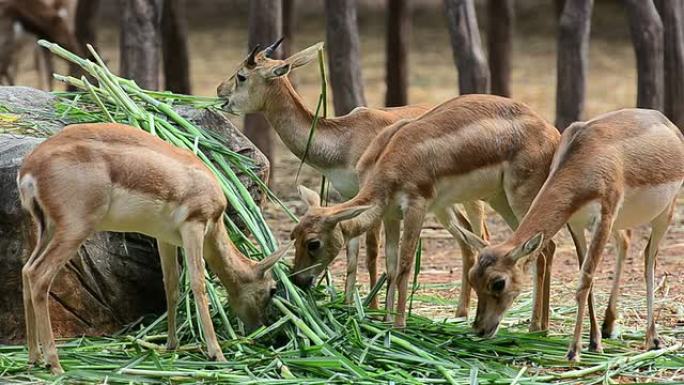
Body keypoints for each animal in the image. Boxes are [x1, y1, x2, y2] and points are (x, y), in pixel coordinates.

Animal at [18, 123, 292, 372]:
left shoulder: (165, 238)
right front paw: (218, 354)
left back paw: (34, 358)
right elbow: (198, 284)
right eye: (272, 289)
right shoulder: (195, 227)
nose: (261, 327)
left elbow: (170, 285)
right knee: (39, 275)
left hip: (48, 229)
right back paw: (55, 364)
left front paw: (171, 345)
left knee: (26, 271)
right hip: (74, 230)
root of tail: (31, 167)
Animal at [216, 39, 488, 316]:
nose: (219, 91)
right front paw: (349, 307)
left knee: (481, 234)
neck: (344, 138)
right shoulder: (348, 197)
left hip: (472, 198)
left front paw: (374, 310)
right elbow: (352, 256)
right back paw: (460, 312)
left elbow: (371, 253)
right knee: (465, 237)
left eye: (241, 75)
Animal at [288, 93, 560, 328]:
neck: (389, 157)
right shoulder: (390, 215)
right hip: (499, 199)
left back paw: (535, 328)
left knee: (542, 249)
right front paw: (385, 320)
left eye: (313, 243)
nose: (298, 280)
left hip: (520, 198)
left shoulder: (415, 208)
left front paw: (399, 325)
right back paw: (541, 326)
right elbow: (391, 265)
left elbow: (405, 266)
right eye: (293, 236)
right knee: (541, 248)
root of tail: (553, 133)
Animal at [460, 109, 684, 362]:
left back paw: (653, 339)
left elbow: (584, 280)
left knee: (648, 260)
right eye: (472, 277)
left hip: (664, 214)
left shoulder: (604, 218)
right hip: (622, 221)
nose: (479, 329)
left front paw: (573, 350)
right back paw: (610, 326)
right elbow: (588, 281)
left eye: (498, 282)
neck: (587, 155)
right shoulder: (575, 224)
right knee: (628, 244)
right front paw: (594, 342)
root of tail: (666, 122)